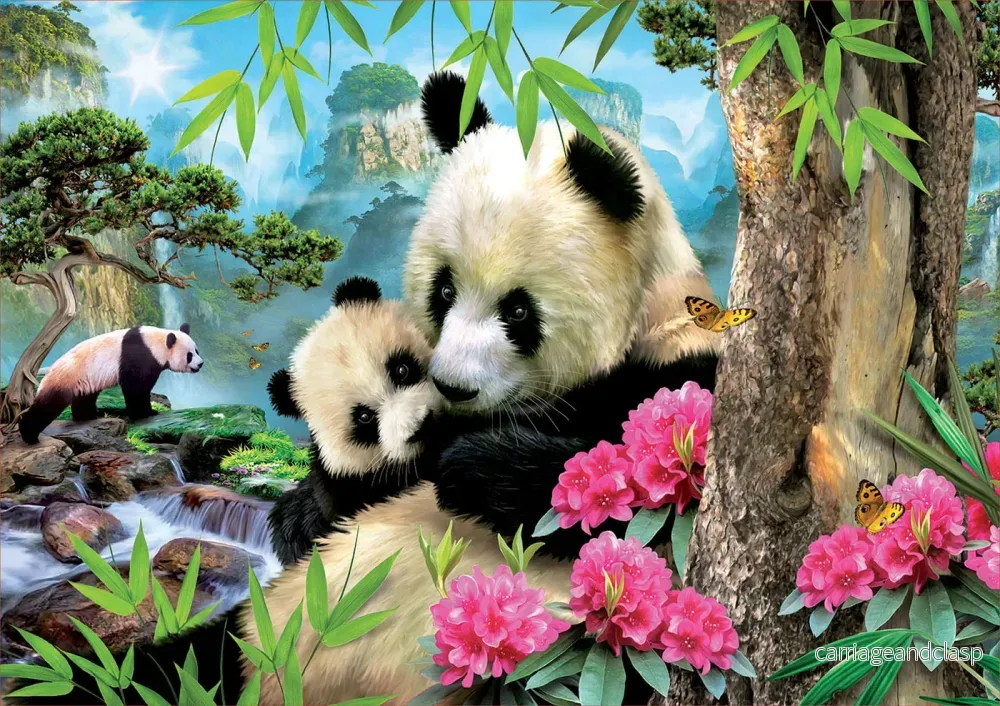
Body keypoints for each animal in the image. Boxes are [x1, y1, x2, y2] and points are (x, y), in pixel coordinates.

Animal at [18, 324, 203, 444]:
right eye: (189, 355)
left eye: (197, 350)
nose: (200, 364)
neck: (155, 342)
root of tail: (48, 372)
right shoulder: (139, 355)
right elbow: (135, 387)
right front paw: (146, 413)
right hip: (66, 378)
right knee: (48, 405)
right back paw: (29, 435)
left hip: (85, 380)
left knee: (85, 398)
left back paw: (90, 416)